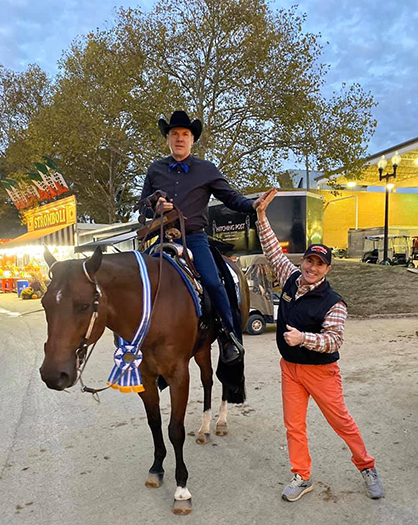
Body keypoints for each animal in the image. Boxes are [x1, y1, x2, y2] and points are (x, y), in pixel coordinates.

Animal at [39, 245, 250, 515]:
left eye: (84, 305)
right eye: (45, 303)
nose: (53, 374)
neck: (154, 307)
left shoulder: (178, 375)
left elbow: (175, 430)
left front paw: (181, 490)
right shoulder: (145, 376)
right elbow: (154, 423)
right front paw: (156, 469)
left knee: (223, 376)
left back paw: (221, 422)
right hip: (201, 349)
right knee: (207, 380)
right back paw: (204, 428)